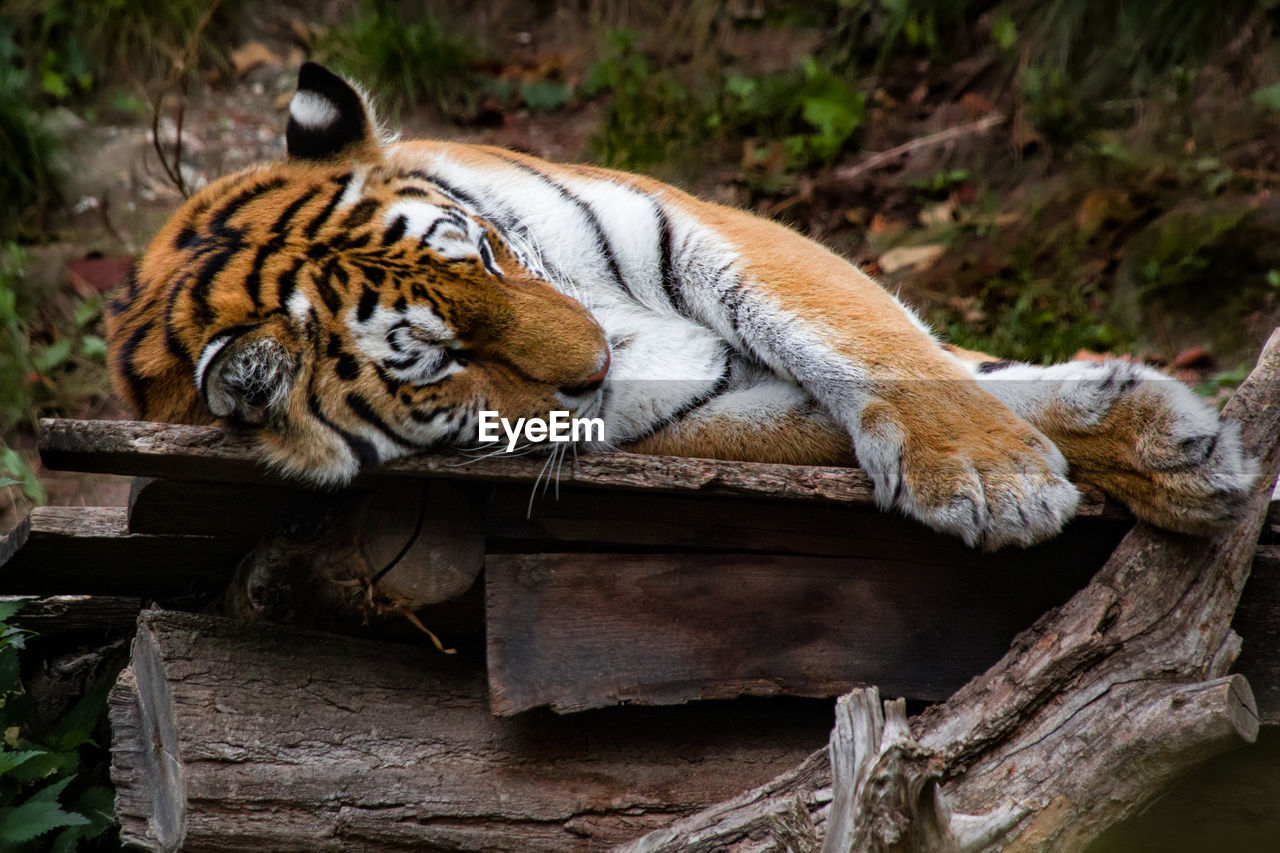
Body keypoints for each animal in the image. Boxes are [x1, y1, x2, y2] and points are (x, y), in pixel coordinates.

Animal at [104, 63, 1254, 548]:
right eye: (440, 360)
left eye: (489, 254)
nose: (599, 363)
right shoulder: (679, 412)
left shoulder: (706, 225)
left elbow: (876, 342)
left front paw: (1122, 452)